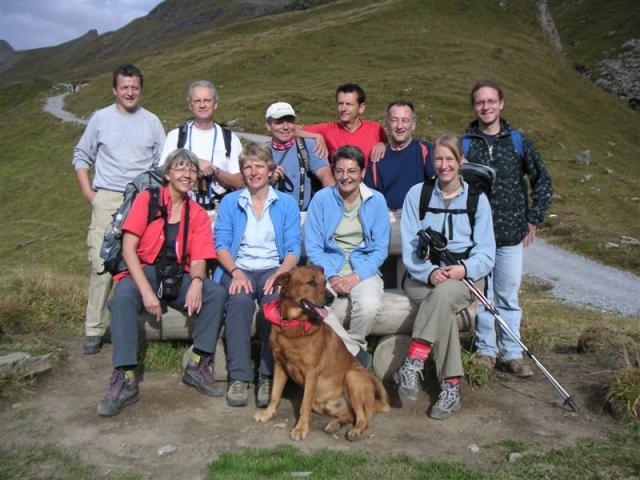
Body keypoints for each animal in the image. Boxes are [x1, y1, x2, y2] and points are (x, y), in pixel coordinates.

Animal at [254, 265, 389, 441]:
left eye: (324, 282)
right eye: (311, 282)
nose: (331, 297)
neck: (293, 325)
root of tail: (374, 400)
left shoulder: (311, 372)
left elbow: (303, 405)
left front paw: (301, 429)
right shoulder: (279, 365)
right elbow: (275, 394)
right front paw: (268, 413)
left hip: (352, 377)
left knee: (362, 418)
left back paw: (355, 430)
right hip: (322, 404)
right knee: (350, 414)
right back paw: (335, 424)